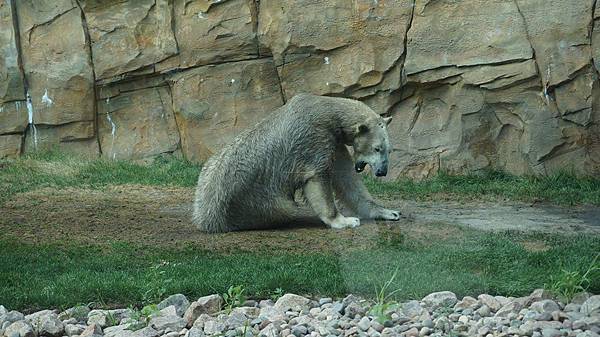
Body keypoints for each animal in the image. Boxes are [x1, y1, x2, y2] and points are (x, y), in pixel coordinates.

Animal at [192, 93, 398, 232]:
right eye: (377, 148)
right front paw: (346, 221)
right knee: (285, 207)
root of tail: (205, 217)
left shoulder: (335, 141)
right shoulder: (315, 137)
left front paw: (388, 212)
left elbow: (347, 180)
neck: (325, 108)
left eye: (388, 150)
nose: (382, 171)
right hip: (254, 201)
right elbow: (317, 177)